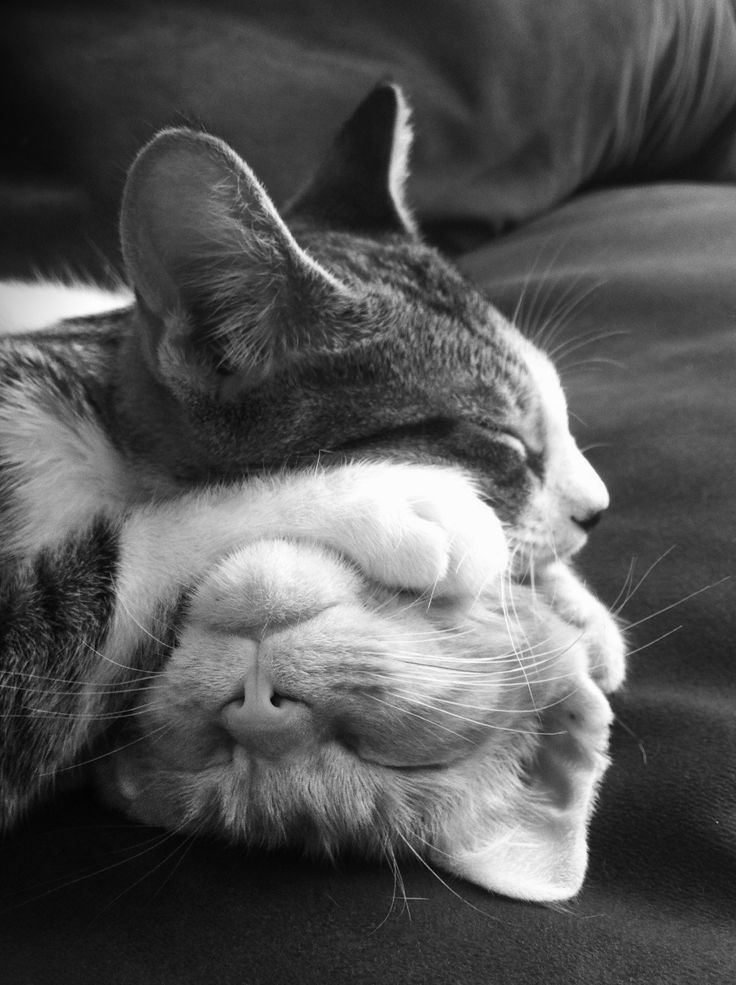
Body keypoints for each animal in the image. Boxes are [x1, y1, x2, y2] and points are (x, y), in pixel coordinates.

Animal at [0, 84, 624, 900]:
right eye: (506, 442)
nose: (598, 508)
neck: (98, 433)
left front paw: (581, 613)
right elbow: (126, 557)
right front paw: (397, 498)